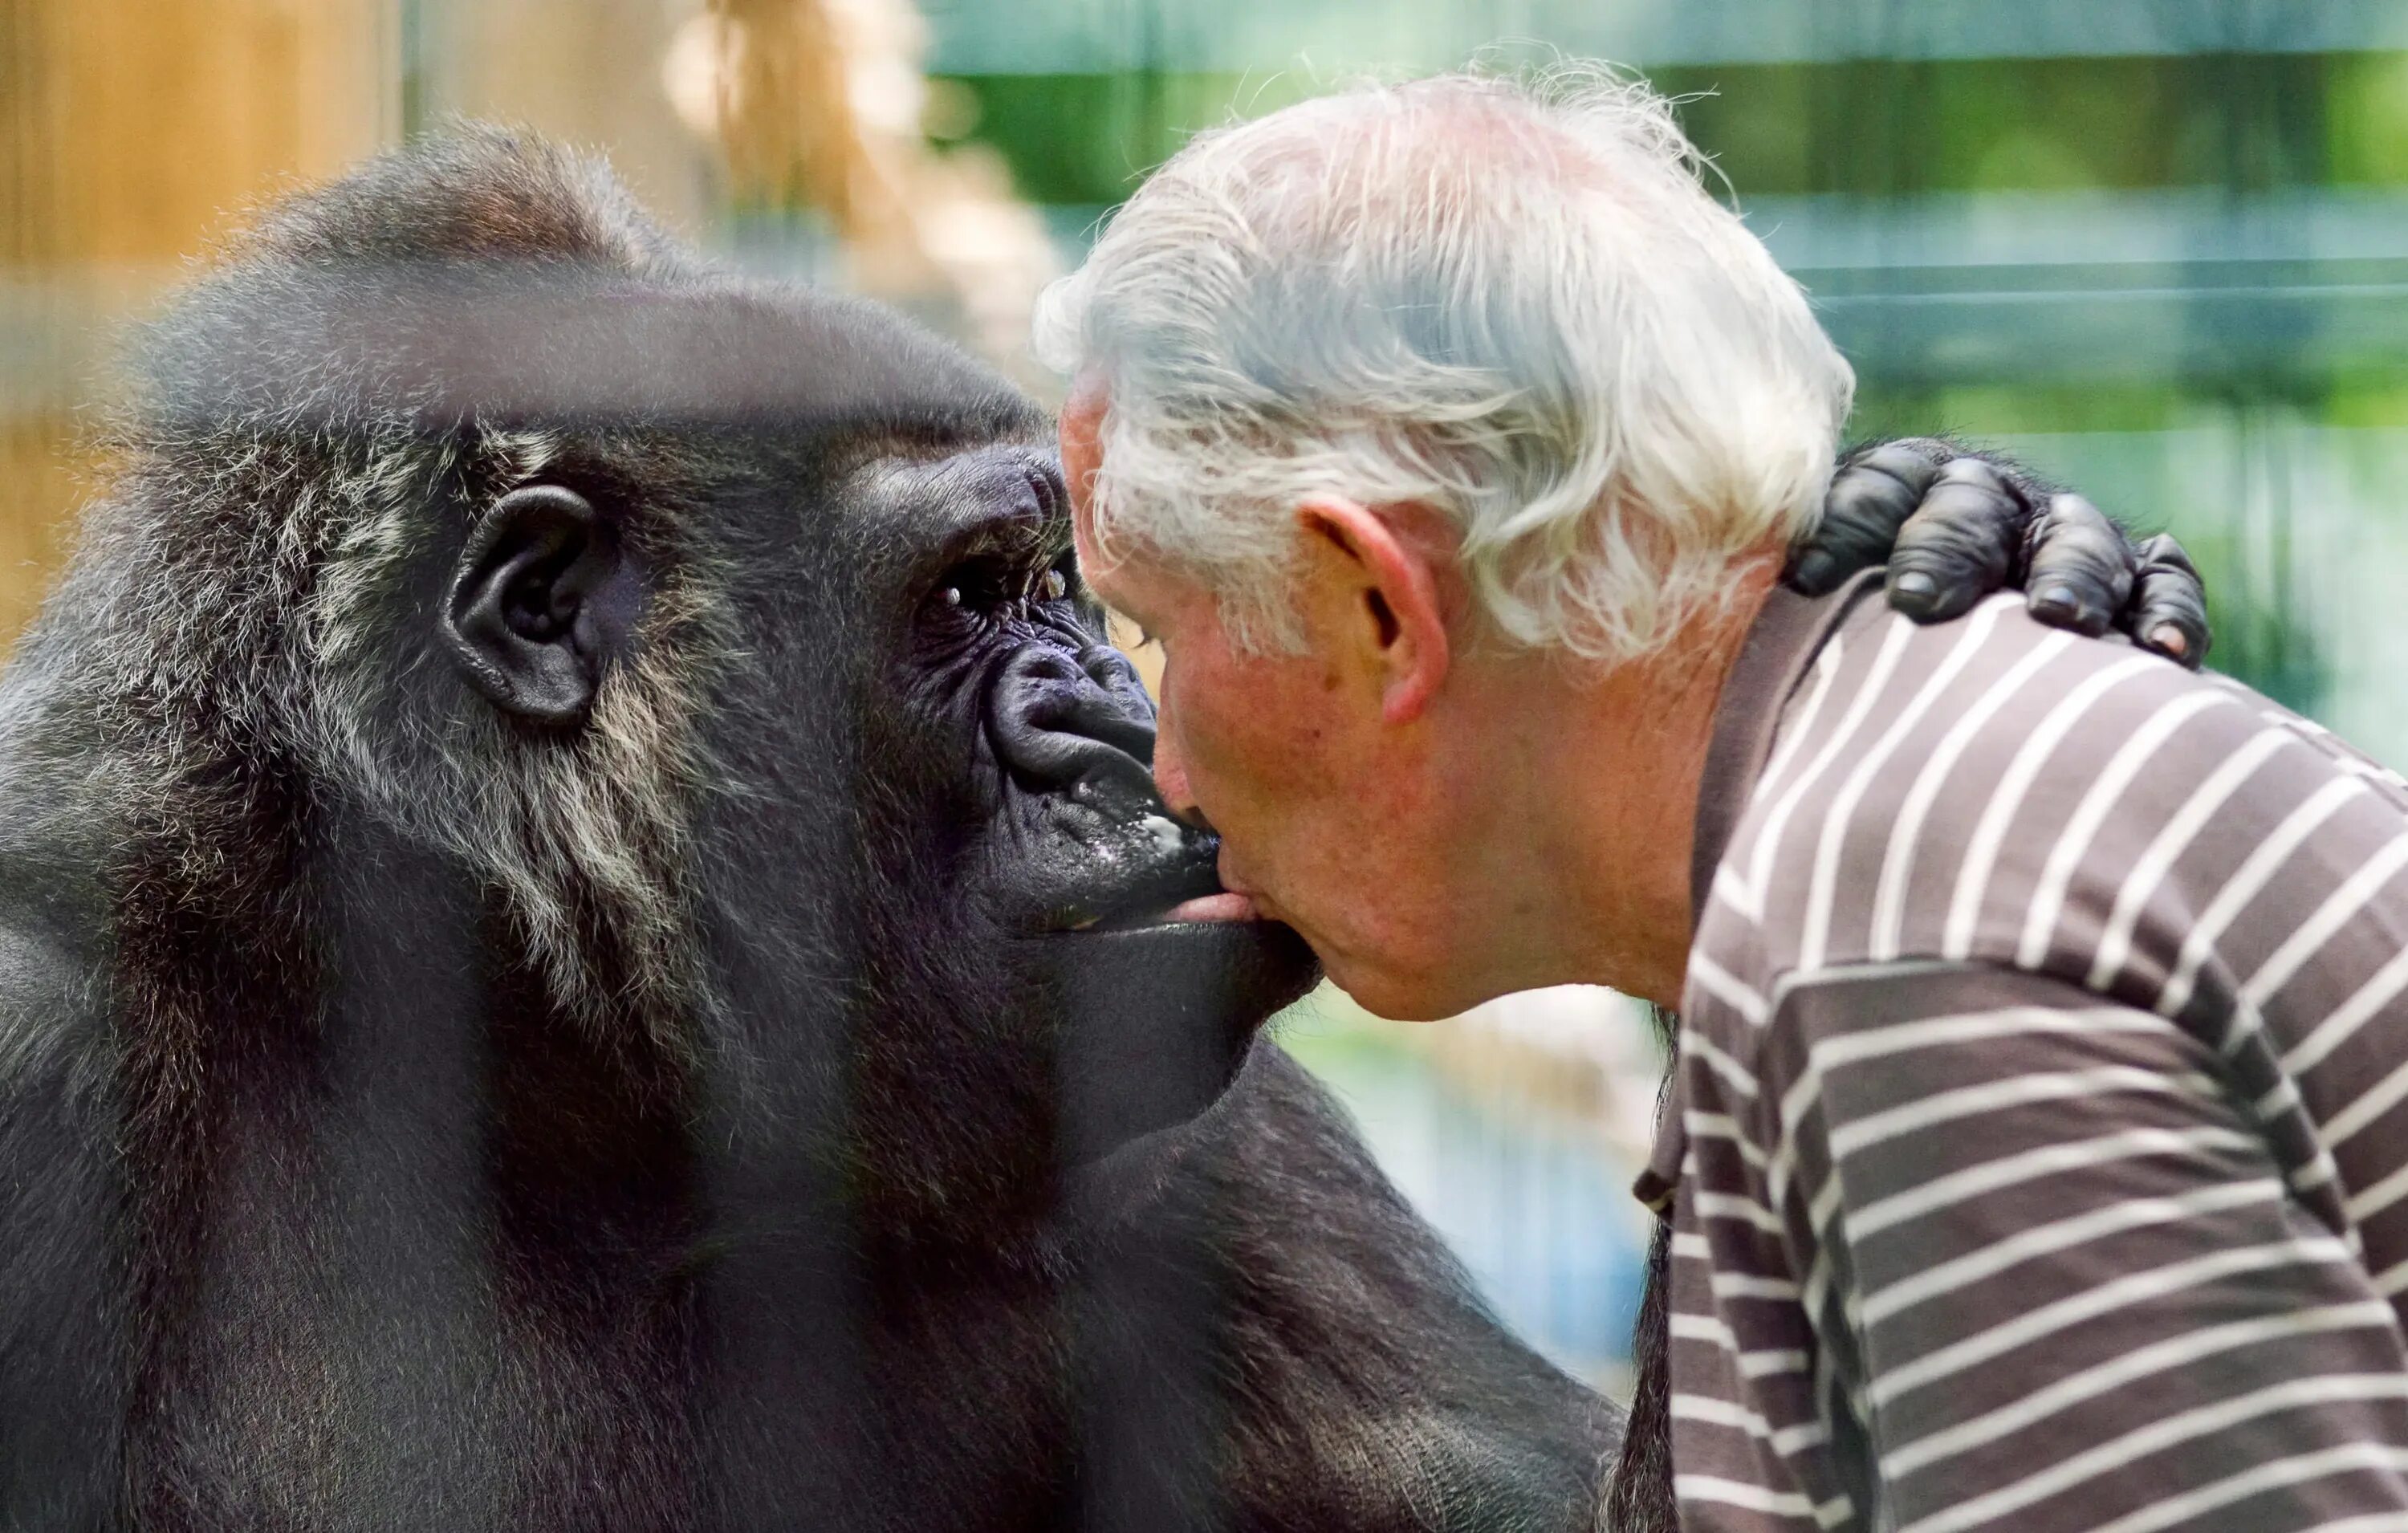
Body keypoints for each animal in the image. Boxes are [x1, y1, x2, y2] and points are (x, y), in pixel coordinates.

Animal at [0, 132, 2206, 1531]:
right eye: (975, 595)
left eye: (1066, 588)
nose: (1121, 728)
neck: (548, 1082)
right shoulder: (39, 1051)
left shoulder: (1202, 1125)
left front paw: (1985, 533)